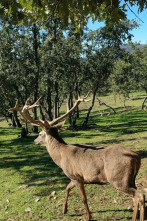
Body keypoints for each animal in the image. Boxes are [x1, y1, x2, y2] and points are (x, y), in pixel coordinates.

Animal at [8, 95, 145, 221]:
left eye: (40, 134)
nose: (35, 141)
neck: (60, 158)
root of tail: (136, 156)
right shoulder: (73, 178)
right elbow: (67, 188)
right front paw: (64, 209)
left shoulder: (76, 176)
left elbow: (84, 198)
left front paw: (88, 217)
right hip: (131, 179)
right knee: (136, 196)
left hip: (118, 179)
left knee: (140, 196)